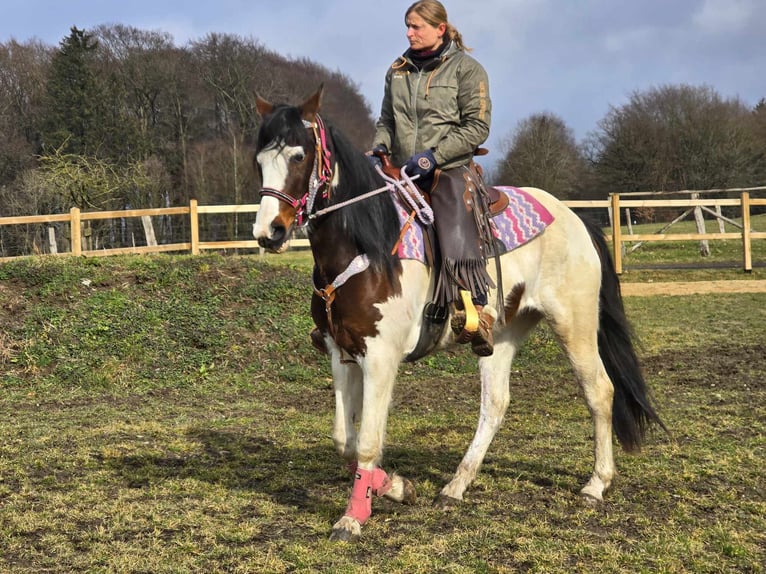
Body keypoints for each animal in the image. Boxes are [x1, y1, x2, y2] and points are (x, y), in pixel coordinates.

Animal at [252, 88, 664, 544]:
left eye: (298, 156)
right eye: (259, 161)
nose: (268, 232)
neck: (367, 249)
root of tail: (577, 220)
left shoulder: (380, 357)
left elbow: (366, 442)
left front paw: (354, 516)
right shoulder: (341, 351)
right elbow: (344, 440)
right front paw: (398, 486)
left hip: (573, 323)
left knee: (599, 391)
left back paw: (595, 484)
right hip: (502, 333)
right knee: (496, 403)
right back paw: (455, 486)